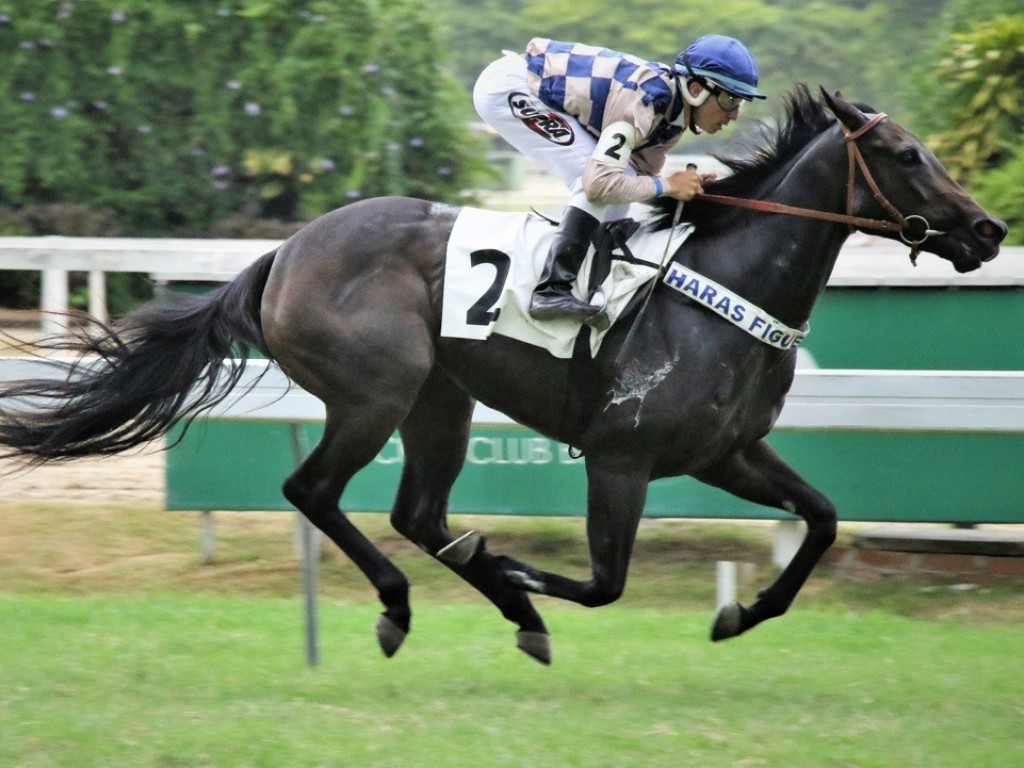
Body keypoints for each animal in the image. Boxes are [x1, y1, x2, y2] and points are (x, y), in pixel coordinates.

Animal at [0, 87, 1007, 663]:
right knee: (316, 491)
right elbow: (603, 583)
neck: (725, 285)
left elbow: (825, 518)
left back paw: (490, 600)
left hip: (438, 400)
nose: (989, 230)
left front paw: (741, 615)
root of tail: (285, 252)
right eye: (908, 156)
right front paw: (513, 566)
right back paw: (416, 599)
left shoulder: (726, 454)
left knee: (417, 513)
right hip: (377, 391)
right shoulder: (622, 458)